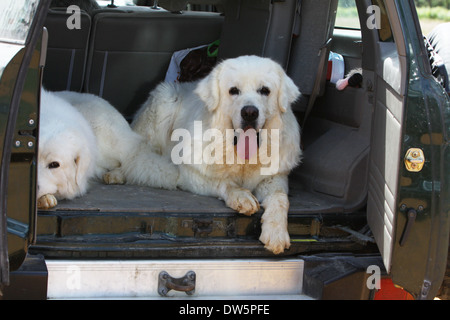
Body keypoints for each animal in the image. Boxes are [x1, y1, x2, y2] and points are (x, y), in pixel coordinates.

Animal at [129, 56, 302, 254]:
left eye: (265, 91)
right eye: (233, 90)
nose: (250, 112)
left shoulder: (275, 178)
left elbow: (280, 198)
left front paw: (276, 233)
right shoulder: (191, 174)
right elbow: (224, 182)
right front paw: (241, 196)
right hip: (165, 103)